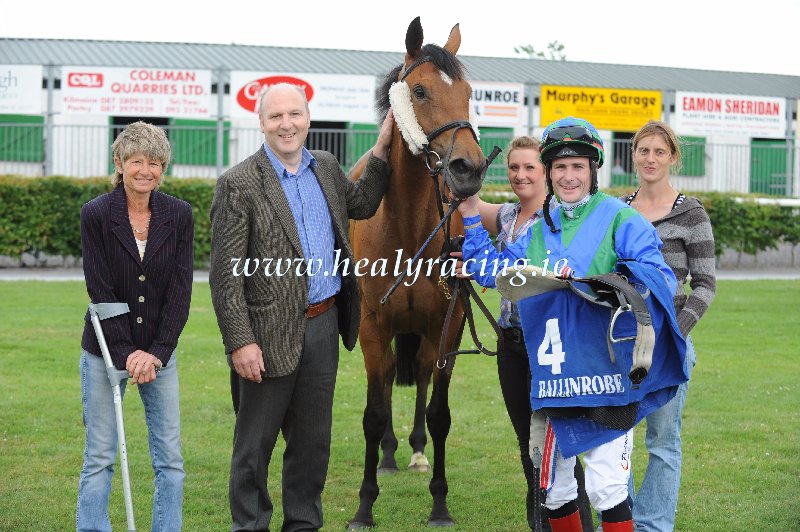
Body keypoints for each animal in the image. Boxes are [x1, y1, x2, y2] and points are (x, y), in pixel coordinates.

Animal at [346, 16, 488, 528]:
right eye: (421, 91)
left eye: (468, 92)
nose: (469, 168)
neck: (407, 227)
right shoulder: (371, 325)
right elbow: (371, 414)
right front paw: (364, 506)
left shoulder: (447, 324)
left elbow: (440, 413)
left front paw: (440, 504)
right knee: (389, 375)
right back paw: (389, 455)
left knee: (421, 375)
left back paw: (416, 452)